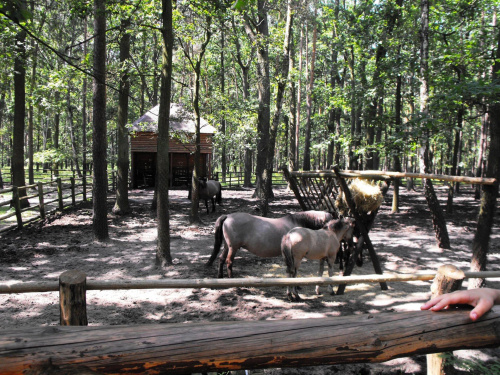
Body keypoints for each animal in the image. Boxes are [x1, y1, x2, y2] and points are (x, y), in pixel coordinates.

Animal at [205, 212, 334, 280]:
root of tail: (227, 216)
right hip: (233, 247)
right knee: (229, 261)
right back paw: (231, 277)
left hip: (227, 246)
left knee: (221, 259)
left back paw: (220, 276)